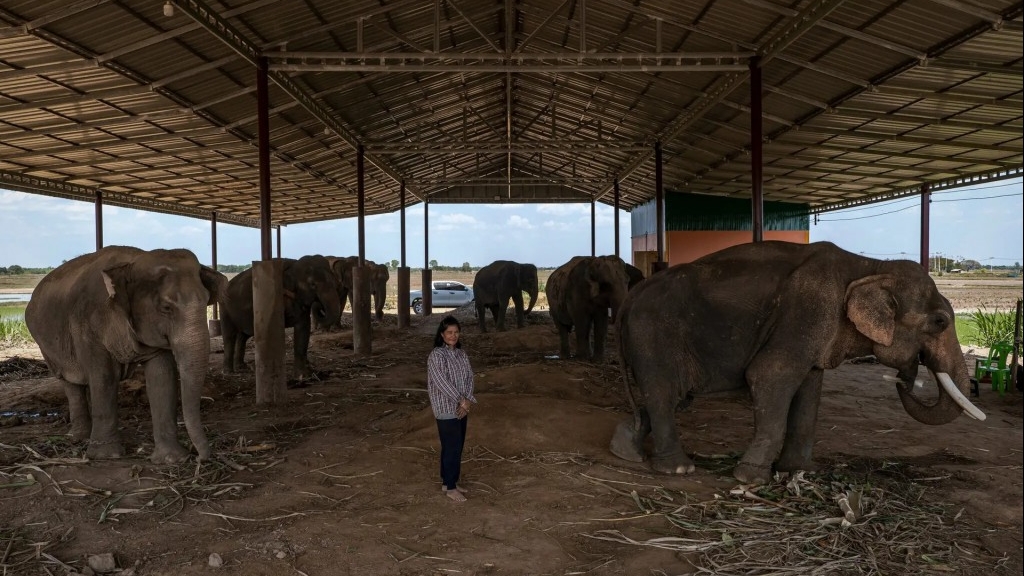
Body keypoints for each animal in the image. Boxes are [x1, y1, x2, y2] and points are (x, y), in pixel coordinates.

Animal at [24, 247, 229, 461]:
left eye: (206, 301)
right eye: (166, 308)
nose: (198, 457)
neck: (134, 261)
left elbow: (162, 376)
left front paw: (172, 459)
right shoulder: (87, 325)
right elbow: (104, 376)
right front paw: (107, 456)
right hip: (46, 346)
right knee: (70, 382)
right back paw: (79, 437)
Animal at [606, 239, 983, 481]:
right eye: (940, 322)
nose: (907, 374)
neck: (872, 268)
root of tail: (632, 295)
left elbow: (809, 387)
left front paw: (798, 472)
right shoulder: (810, 311)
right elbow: (770, 375)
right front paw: (749, 479)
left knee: (670, 398)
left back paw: (624, 449)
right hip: (653, 334)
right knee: (665, 393)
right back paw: (678, 470)